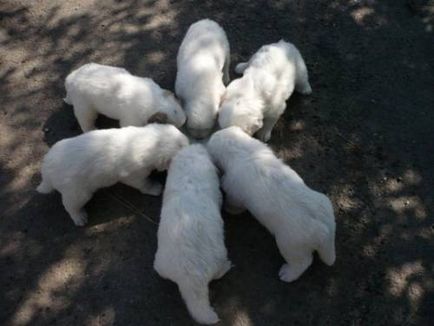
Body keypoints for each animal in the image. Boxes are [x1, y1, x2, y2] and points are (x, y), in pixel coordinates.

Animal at [38, 123, 190, 225]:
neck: (149, 141)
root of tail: (46, 169)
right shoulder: (134, 175)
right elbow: (144, 184)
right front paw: (155, 188)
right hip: (78, 193)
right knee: (69, 206)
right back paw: (79, 217)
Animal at [207, 127, 336, 282]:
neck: (243, 151)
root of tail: (324, 228)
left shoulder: (235, 193)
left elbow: (234, 204)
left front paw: (229, 209)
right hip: (325, 207)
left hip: (289, 245)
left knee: (303, 262)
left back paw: (287, 274)